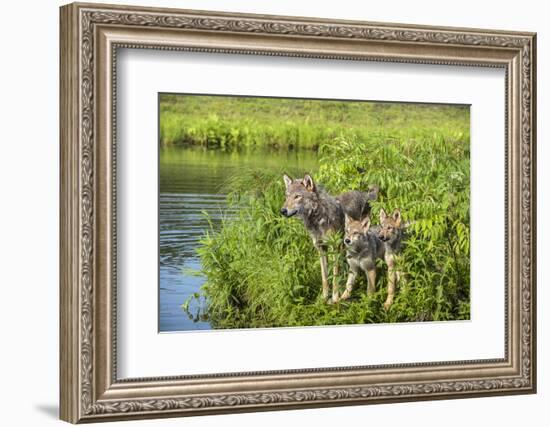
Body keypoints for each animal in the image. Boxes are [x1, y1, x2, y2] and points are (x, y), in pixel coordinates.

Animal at [280, 174, 380, 304]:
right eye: (287, 196)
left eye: (297, 196)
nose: (282, 211)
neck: (318, 219)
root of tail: (364, 194)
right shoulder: (321, 249)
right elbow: (325, 277)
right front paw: (324, 298)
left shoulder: (335, 248)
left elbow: (335, 277)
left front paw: (335, 298)